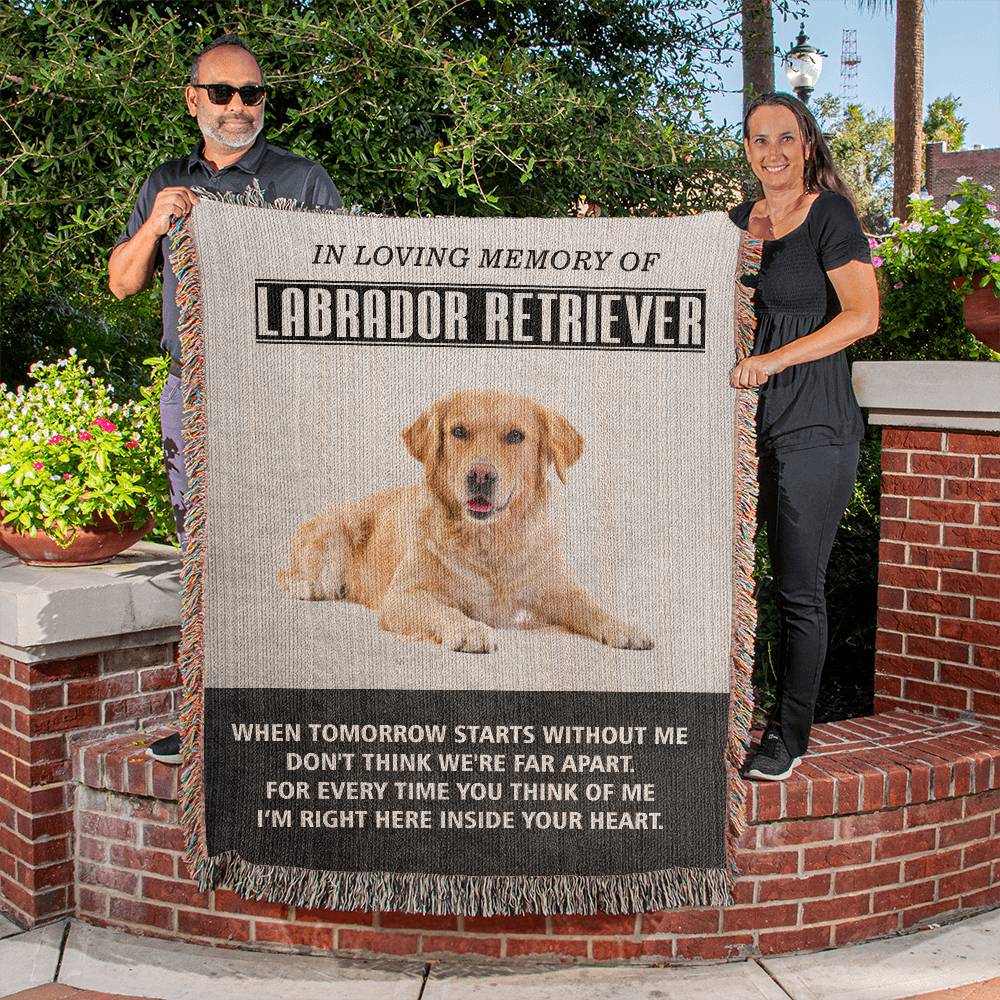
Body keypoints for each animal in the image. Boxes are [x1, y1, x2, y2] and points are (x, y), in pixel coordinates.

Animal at [278, 390, 652, 656]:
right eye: (459, 431)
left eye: (516, 436)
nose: (480, 475)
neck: (489, 541)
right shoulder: (403, 597)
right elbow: (444, 611)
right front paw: (470, 630)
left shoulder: (559, 589)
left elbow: (594, 608)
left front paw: (626, 627)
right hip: (336, 530)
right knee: (289, 575)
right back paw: (308, 586)